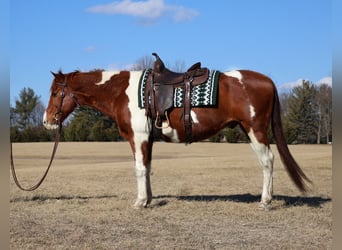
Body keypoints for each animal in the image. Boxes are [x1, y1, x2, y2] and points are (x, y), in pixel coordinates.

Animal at [42, 56, 310, 209]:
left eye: (55, 93)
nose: (47, 121)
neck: (120, 92)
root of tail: (268, 81)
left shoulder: (138, 137)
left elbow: (139, 168)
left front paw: (140, 202)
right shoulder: (148, 139)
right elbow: (147, 168)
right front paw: (148, 199)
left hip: (255, 130)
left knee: (268, 161)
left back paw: (265, 201)